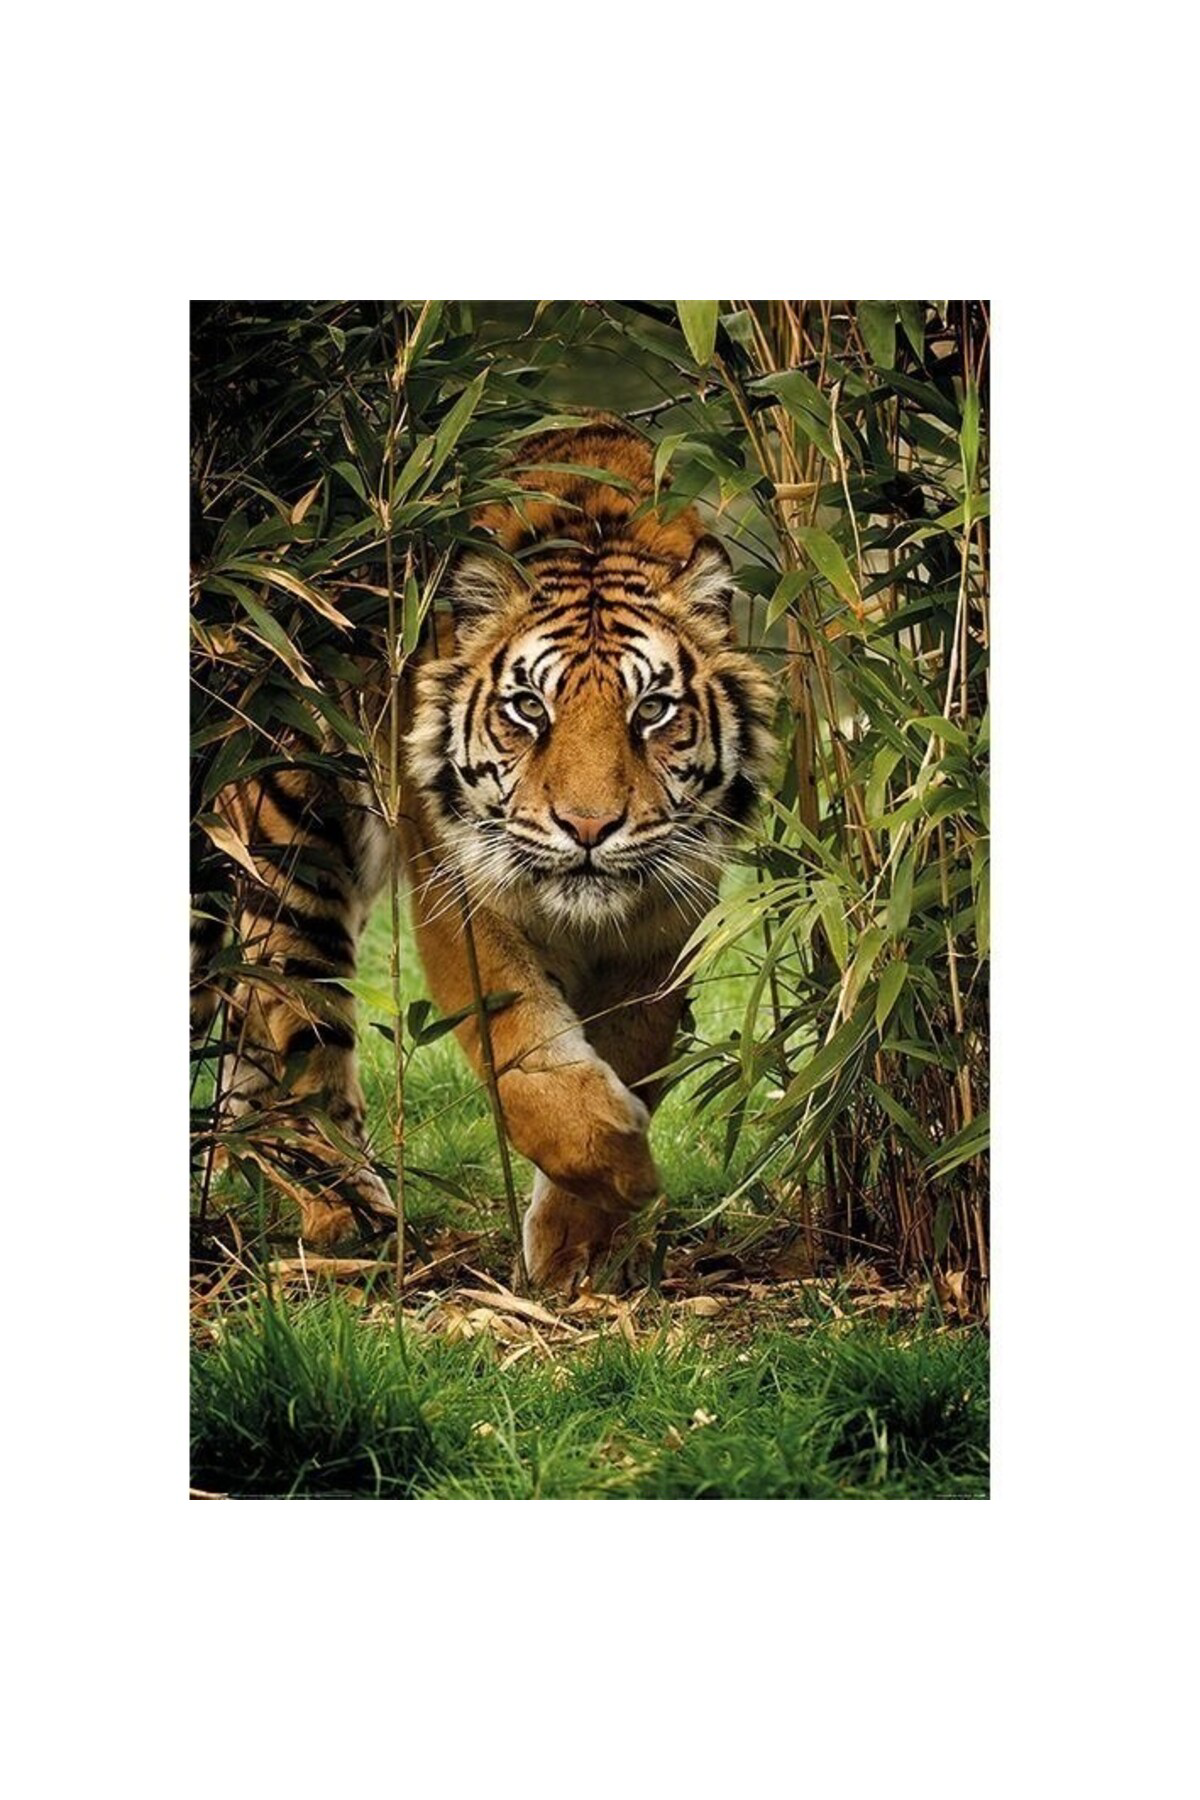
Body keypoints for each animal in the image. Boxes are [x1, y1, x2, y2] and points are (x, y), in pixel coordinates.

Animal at [195, 420, 775, 1291]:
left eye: (652, 710)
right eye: (528, 708)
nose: (588, 827)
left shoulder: (667, 918)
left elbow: (630, 1048)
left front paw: (580, 1246)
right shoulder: (461, 893)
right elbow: (524, 1055)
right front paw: (627, 1172)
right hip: (293, 845)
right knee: (296, 1030)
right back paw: (352, 1217)